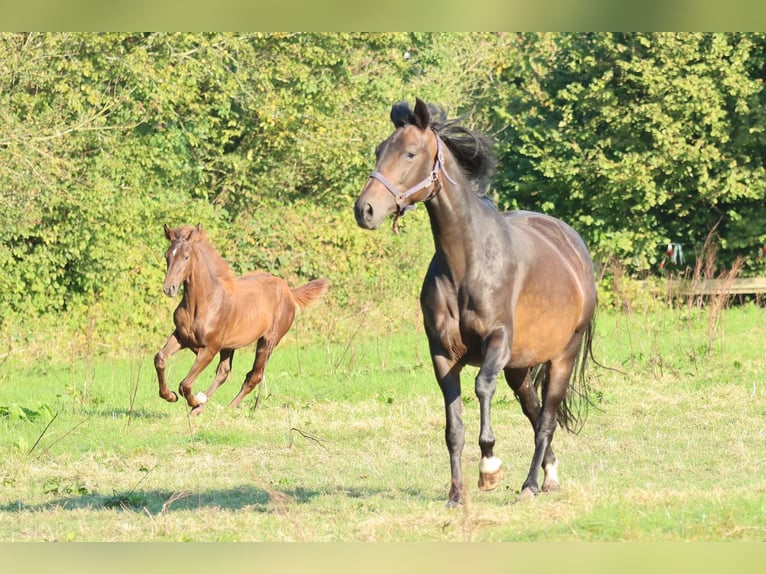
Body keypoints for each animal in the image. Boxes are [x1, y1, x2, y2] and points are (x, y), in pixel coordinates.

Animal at [154, 223, 328, 416]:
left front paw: (196, 401)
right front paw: (170, 396)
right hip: (229, 346)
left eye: (186, 257)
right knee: (224, 372)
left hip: (268, 342)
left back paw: (225, 407)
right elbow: (160, 358)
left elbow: (185, 384)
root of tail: (289, 291)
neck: (203, 302)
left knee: (254, 376)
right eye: (167, 256)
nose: (169, 288)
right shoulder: (181, 337)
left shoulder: (210, 347)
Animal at [354, 99, 600, 508]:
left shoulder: (496, 343)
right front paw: (456, 495)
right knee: (533, 411)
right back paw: (549, 475)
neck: (466, 263)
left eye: (410, 153)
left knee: (546, 418)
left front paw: (489, 467)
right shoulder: (443, 354)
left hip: (563, 355)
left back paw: (531, 485)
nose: (366, 210)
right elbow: (453, 427)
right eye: (378, 151)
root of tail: (572, 244)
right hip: (521, 367)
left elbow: (483, 388)